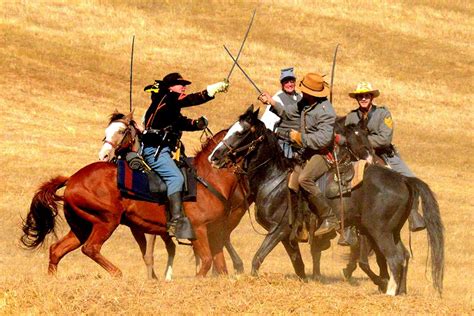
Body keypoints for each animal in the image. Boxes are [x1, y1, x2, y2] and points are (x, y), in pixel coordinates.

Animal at [20, 112, 246, 278]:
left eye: (242, 133)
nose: (104, 154)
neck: (207, 178)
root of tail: (72, 179)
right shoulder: (198, 230)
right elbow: (204, 261)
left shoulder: (212, 231)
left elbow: (216, 264)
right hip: (107, 220)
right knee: (91, 248)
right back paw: (117, 274)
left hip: (81, 227)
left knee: (56, 250)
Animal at [209, 106, 442, 296]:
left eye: (241, 132)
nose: (214, 157)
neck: (274, 178)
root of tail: (403, 179)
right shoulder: (288, 237)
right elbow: (299, 266)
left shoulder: (279, 229)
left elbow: (257, 258)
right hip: (391, 232)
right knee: (403, 255)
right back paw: (400, 291)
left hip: (379, 232)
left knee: (395, 258)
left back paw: (390, 293)